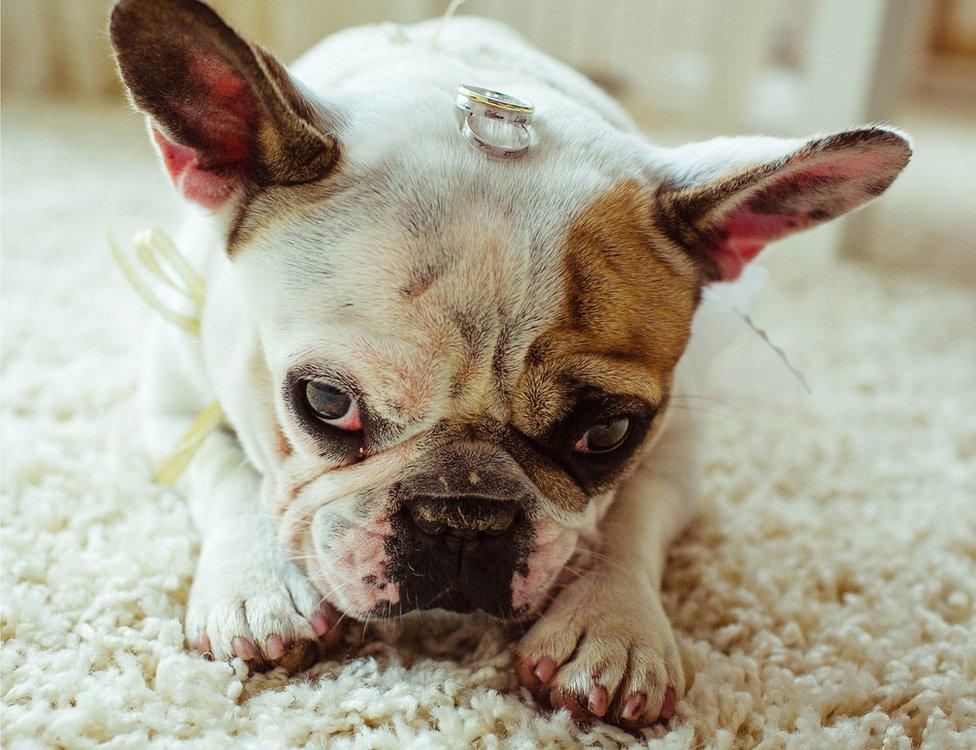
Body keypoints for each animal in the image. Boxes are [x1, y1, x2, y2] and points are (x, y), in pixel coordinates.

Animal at [110, 0, 912, 728]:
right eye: (326, 404)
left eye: (608, 434)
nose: (465, 516)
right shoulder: (173, 407)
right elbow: (229, 470)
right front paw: (261, 589)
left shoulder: (676, 442)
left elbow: (632, 515)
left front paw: (613, 626)